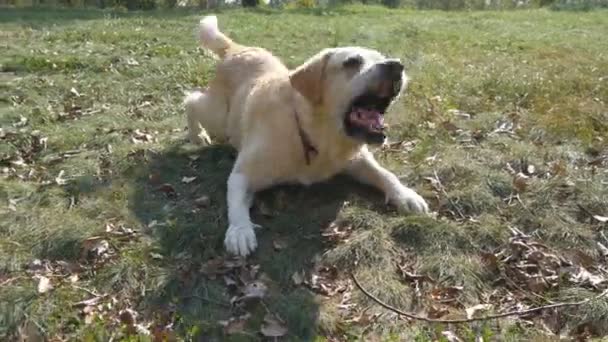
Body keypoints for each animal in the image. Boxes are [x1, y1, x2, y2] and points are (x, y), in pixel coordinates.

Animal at [185, 15, 428, 256]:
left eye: (383, 57)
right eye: (352, 62)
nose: (396, 66)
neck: (310, 133)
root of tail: (236, 48)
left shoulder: (357, 159)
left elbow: (386, 174)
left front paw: (406, 195)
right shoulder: (242, 174)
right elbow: (235, 201)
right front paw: (239, 230)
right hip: (218, 117)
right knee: (191, 99)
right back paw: (198, 135)